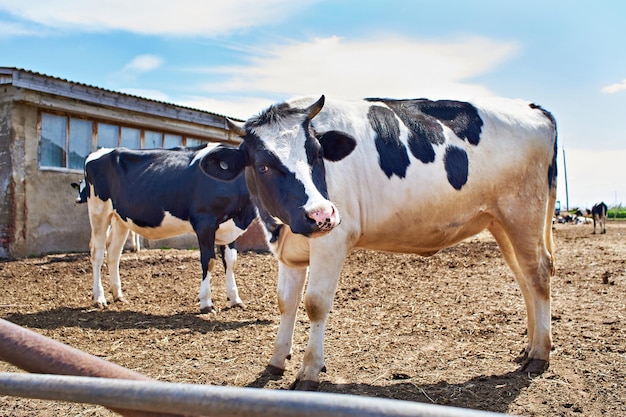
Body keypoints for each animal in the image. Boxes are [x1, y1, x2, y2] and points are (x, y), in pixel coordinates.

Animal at [76, 143, 256, 312]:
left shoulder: (229, 228)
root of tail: (102, 151)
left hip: (120, 218)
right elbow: (209, 261)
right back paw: (99, 298)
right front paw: (206, 302)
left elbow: (231, 261)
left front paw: (235, 299)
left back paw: (118, 295)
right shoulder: (205, 223)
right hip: (99, 211)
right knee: (98, 253)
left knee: (113, 253)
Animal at [202, 95, 560, 390]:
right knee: (525, 279)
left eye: (316, 154)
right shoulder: (289, 252)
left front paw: (309, 371)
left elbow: (315, 303)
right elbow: (286, 303)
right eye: (263, 164)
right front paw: (277, 361)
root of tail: (532, 108)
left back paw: (540, 354)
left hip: (523, 212)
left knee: (539, 274)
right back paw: (529, 347)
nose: (321, 215)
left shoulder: (332, 240)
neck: (282, 227)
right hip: (502, 223)